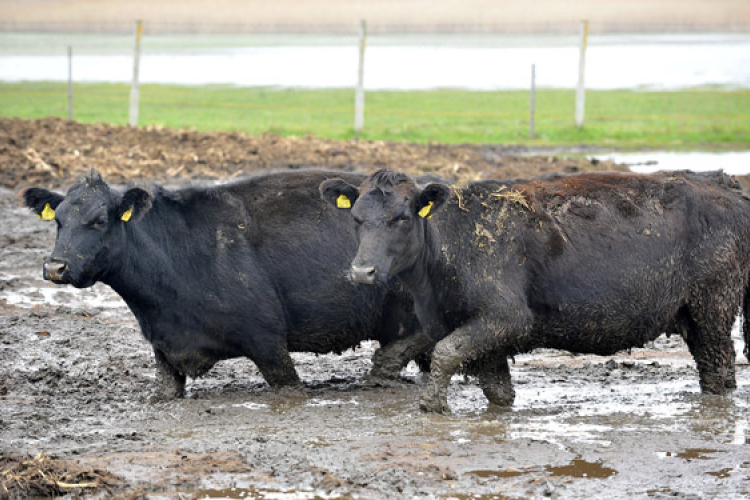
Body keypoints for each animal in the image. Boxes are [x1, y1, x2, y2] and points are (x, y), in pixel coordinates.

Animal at [324, 170, 750, 412]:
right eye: (356, 218)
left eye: (401, 217)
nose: (362, 271)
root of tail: (725, 188)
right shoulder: (483, 337)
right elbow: (496, 391)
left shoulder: (506, 317)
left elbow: (445, 353)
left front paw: (432, 404)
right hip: (693, 314)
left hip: (712, 308)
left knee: (719, 368)